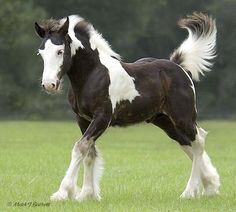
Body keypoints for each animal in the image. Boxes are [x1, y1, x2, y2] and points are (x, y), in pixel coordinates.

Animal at [34, 12, 219, 201]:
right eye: (41, 53)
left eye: (60, 51)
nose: (49, 85)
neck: (93, 75)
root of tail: (179, 68)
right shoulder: (83, 119)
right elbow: (89, 153)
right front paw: (87, 194)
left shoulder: (102, 117)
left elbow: (80, 148)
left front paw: (63, 192)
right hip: (164, 121)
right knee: (187, 144)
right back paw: (210, 186)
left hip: (182, 117)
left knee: (199, 140)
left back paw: (190, 192)